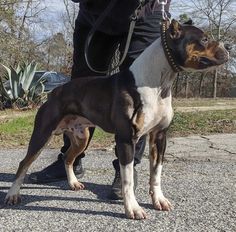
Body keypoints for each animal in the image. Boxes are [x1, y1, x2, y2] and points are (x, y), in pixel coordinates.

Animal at [4, 20, 229, 219]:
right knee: (24, 163)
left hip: (81, 138)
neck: (159, 82)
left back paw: (73, 183)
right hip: (42, 134)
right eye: (205, 39)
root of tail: (54, 92)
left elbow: (156, 173)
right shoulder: (126, 139)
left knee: (68, 158)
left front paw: (159, 200)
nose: (229, 46)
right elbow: (127, 179)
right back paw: (13, 194)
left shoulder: (159, 137)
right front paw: (133, 209)